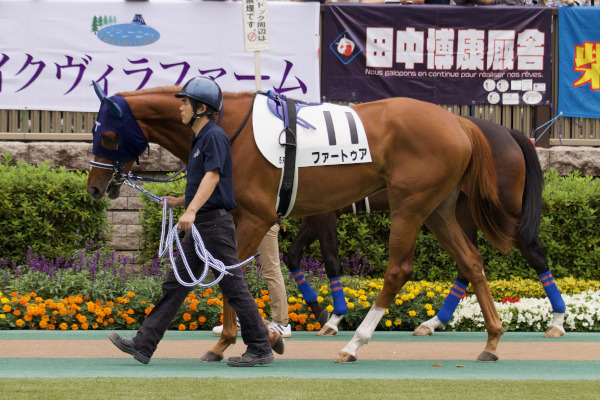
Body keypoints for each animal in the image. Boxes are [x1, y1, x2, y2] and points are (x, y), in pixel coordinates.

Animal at [86, 85, 516, 362]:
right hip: (438, 208)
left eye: (107, 135)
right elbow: (226, 276)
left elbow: (229, 276)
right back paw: (492, 341)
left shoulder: (258, 217)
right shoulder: (239, 217)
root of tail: (459, 123)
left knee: (399, 270)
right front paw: (259, 338)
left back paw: (354, 344)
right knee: (472, 261)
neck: (228, 126)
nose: (94, 186)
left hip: (409, 206)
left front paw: (236, 342)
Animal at [288, 119, 564, 338]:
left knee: (534, 251)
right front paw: (318, 310)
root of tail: (509, 132)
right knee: (468, 264)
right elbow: (293, 256)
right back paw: (433, 322)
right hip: (461, 211)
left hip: (504, 209)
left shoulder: (325, 214)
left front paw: (334, 318)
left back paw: (558, 321)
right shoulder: (312, 216)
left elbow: (331, 261)